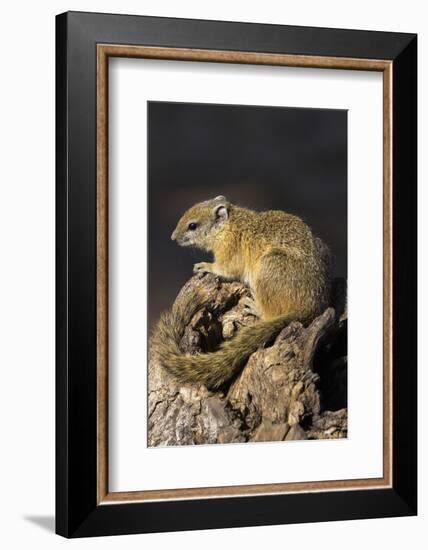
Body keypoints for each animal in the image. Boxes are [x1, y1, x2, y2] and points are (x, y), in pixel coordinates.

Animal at [154, 196, 332, 390]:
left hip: (268, 266)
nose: (173, 237)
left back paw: (254, 306)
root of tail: (310, 309)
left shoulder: (229, 252)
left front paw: (206, 266)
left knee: (269, 314)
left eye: (192, 226)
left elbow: (225, 269)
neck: (229, 225)